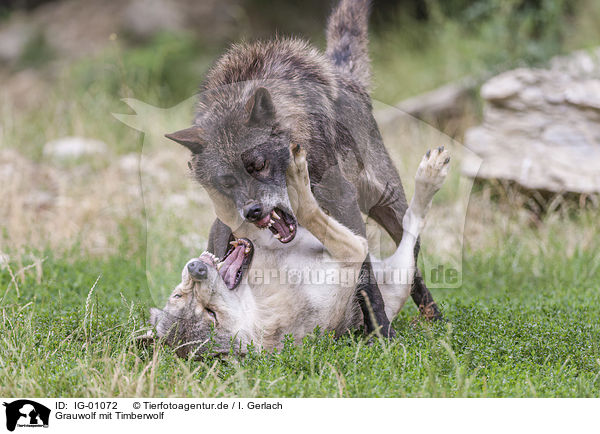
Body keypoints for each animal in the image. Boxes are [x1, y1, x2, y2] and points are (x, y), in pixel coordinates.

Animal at [143, 145, 448, 356]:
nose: (196, 268)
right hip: (400, 275)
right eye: (210, 314)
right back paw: (430, 177)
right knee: (412, 228)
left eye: (178, 295)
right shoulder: (350, 252)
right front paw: (296, 180)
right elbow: (308, 209)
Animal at [166, 0, 442, 336]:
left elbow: (366, 280)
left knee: (413, 263)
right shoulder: (224, 224)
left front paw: (381, 333)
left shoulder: (344, 205)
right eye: (226, 182)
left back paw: (434, 318)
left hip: (392, 211)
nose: (252, 212)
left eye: (258, 165)